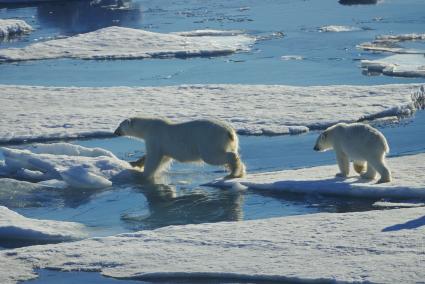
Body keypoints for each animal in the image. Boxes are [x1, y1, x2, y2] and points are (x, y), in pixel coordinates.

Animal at [113, 117, 245, 180]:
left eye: (120, 125)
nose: (115, 132)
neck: (148, 127)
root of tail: (229, 132)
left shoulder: (155, 138)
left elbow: (153, 158)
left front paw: (141, 174)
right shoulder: (165, 146)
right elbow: (164, 158)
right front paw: (135, 163)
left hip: (209, 140)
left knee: (214, 156)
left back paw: (233, 173)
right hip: (230, 142)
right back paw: (236, 171)